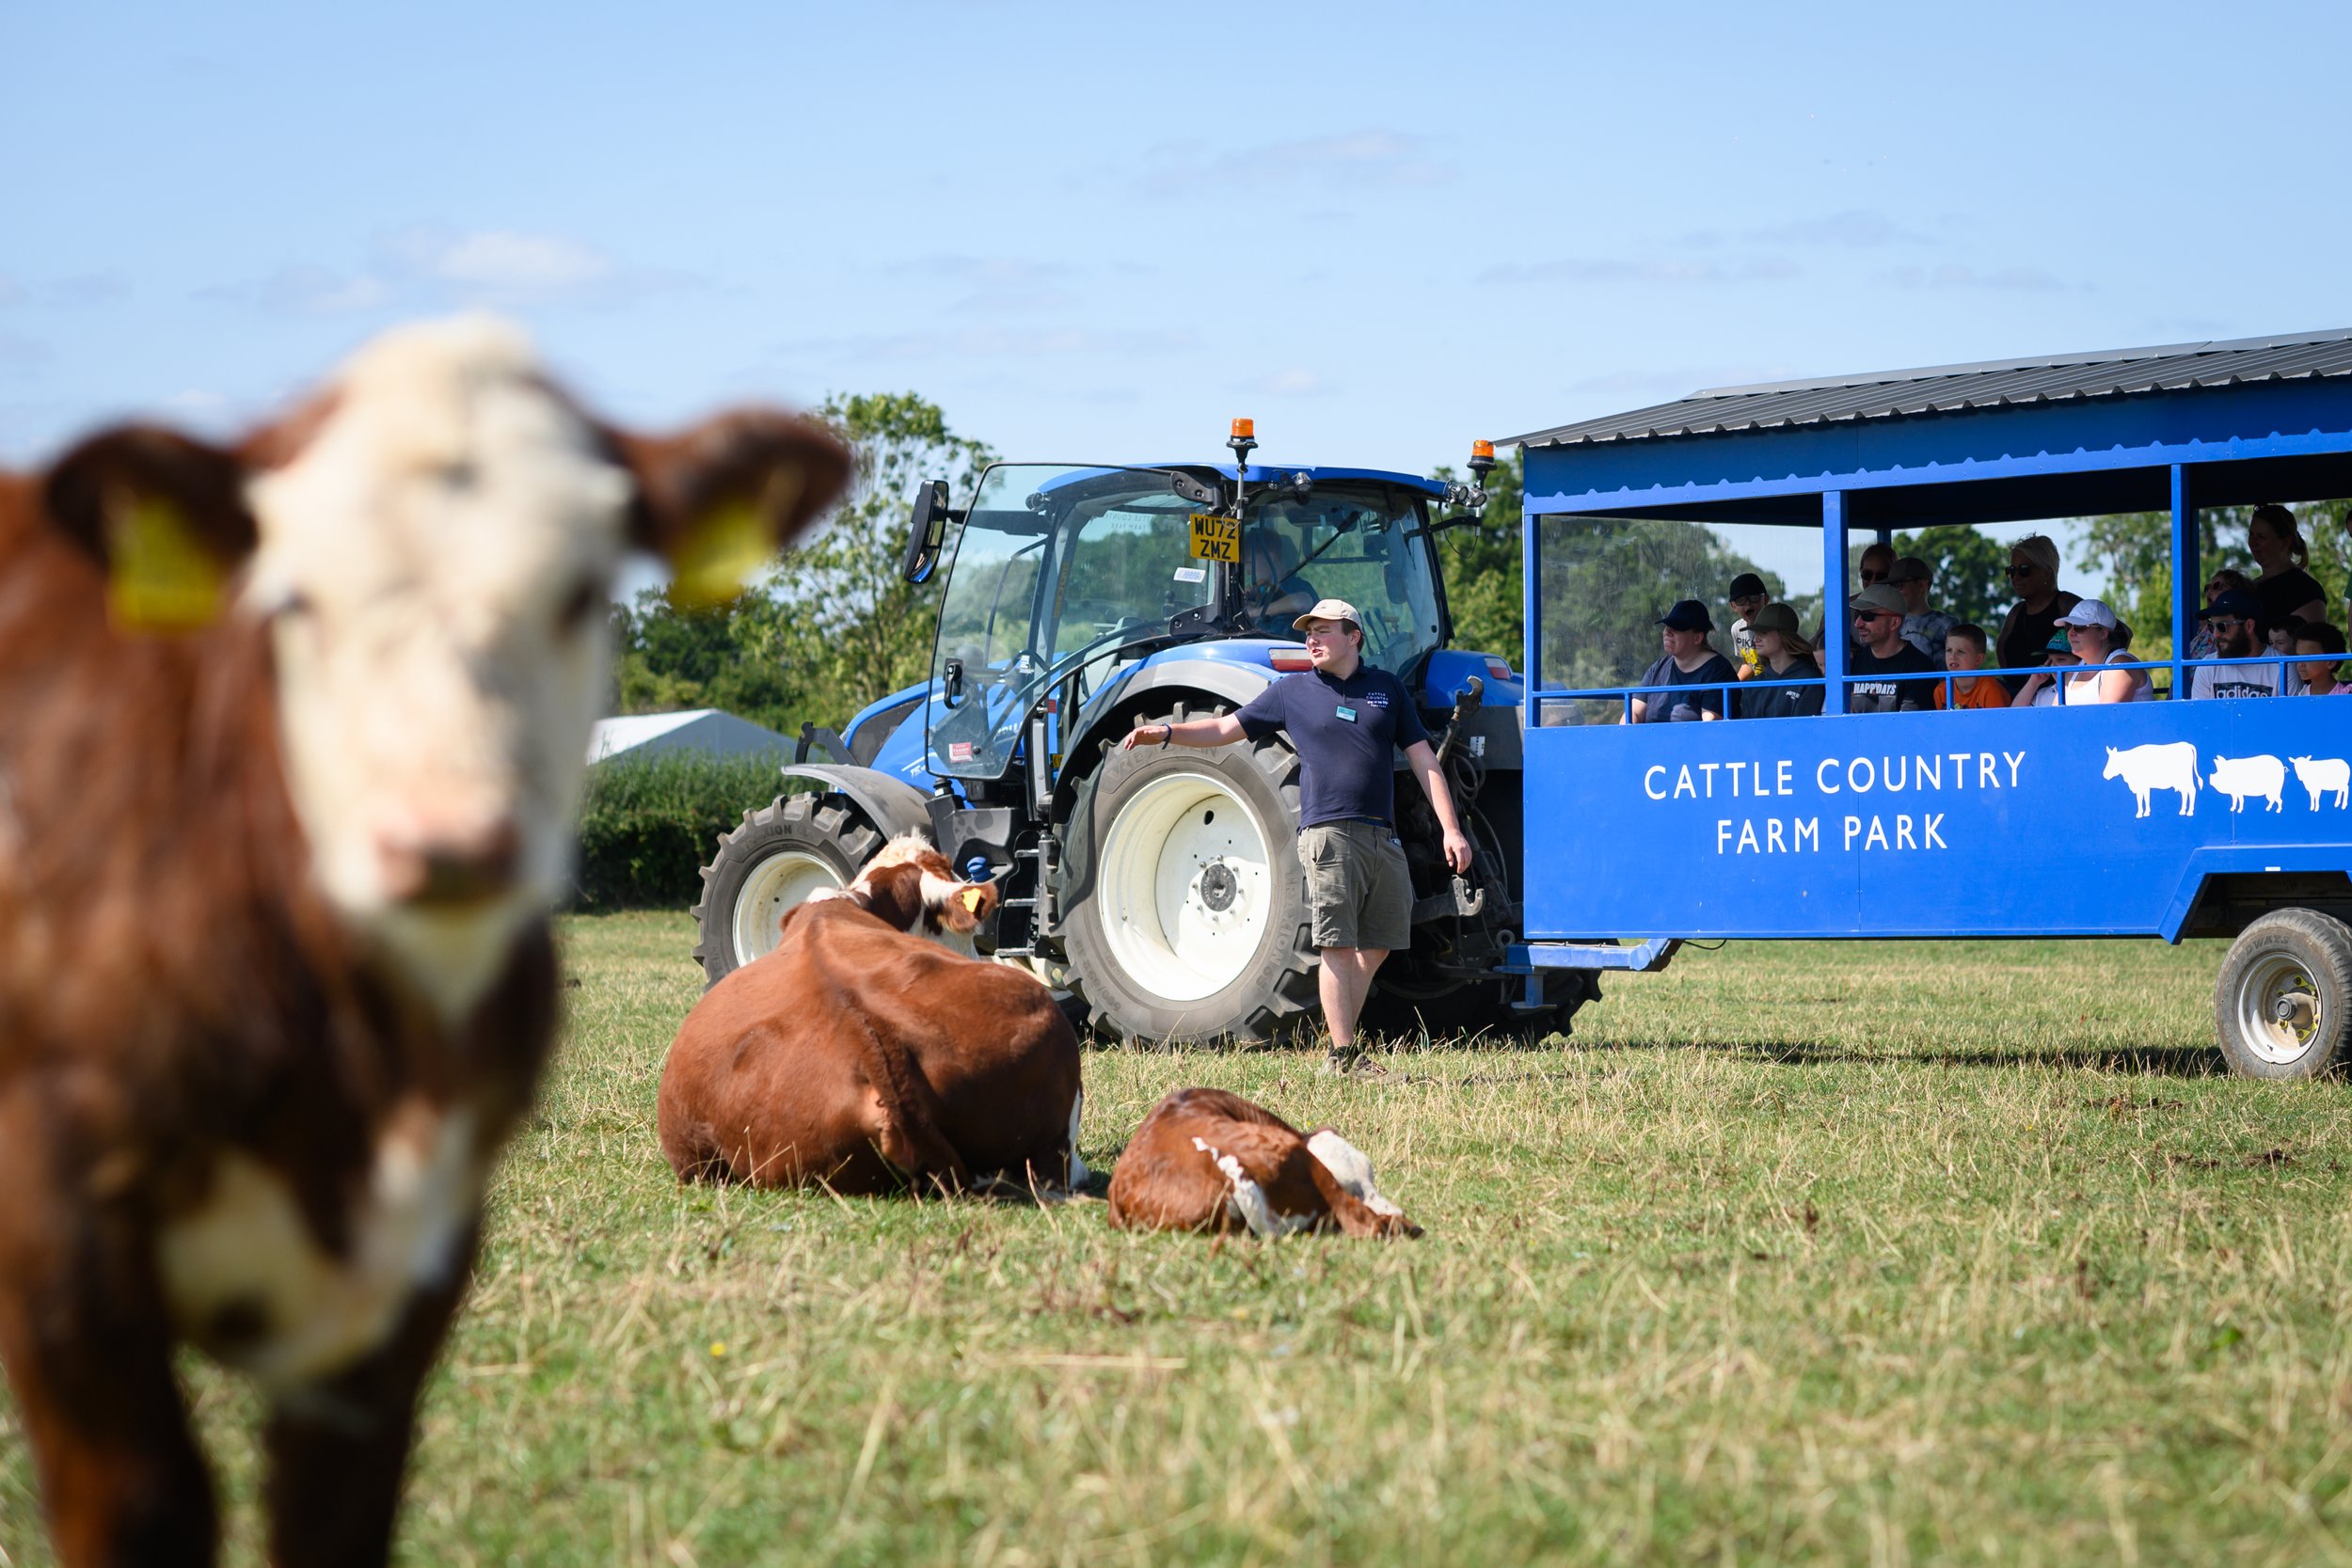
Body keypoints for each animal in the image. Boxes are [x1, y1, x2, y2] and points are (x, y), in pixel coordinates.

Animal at [0, 316, 850, 1568]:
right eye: (291, 598)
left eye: (583, 589)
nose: (447, 841)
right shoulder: (62, 1241)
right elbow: (146, 1509)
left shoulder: (411, 1268)